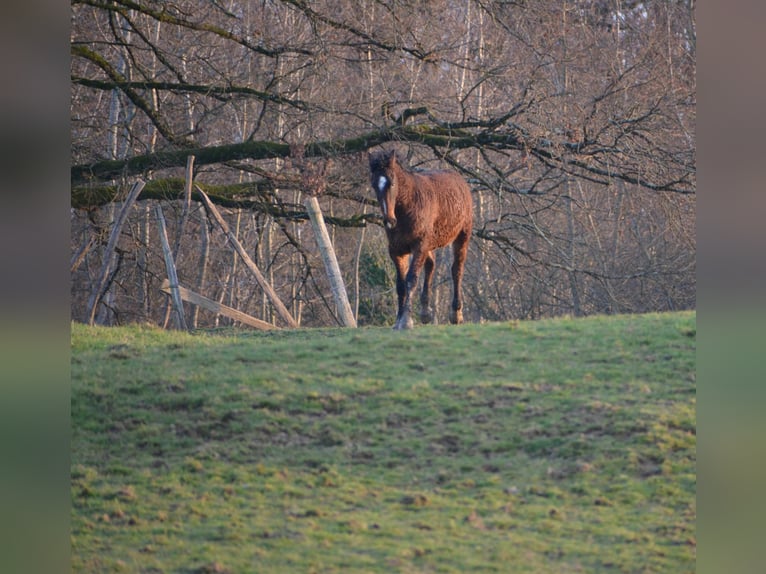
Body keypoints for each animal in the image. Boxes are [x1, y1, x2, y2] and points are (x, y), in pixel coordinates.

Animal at [369, 150, 473, 330]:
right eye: (374, 185)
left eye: (392, 183)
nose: (389, 220)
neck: (408, 206)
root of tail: (460, 181)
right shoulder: (397, 251)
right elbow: (400, 285)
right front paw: (398, 320)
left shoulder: (419, 246)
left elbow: (411, 279)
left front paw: (406, 321)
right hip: (429, 244)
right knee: (431, 265)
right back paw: (425, 312)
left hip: (461, 238)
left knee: (456, 270)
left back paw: (456, 314)